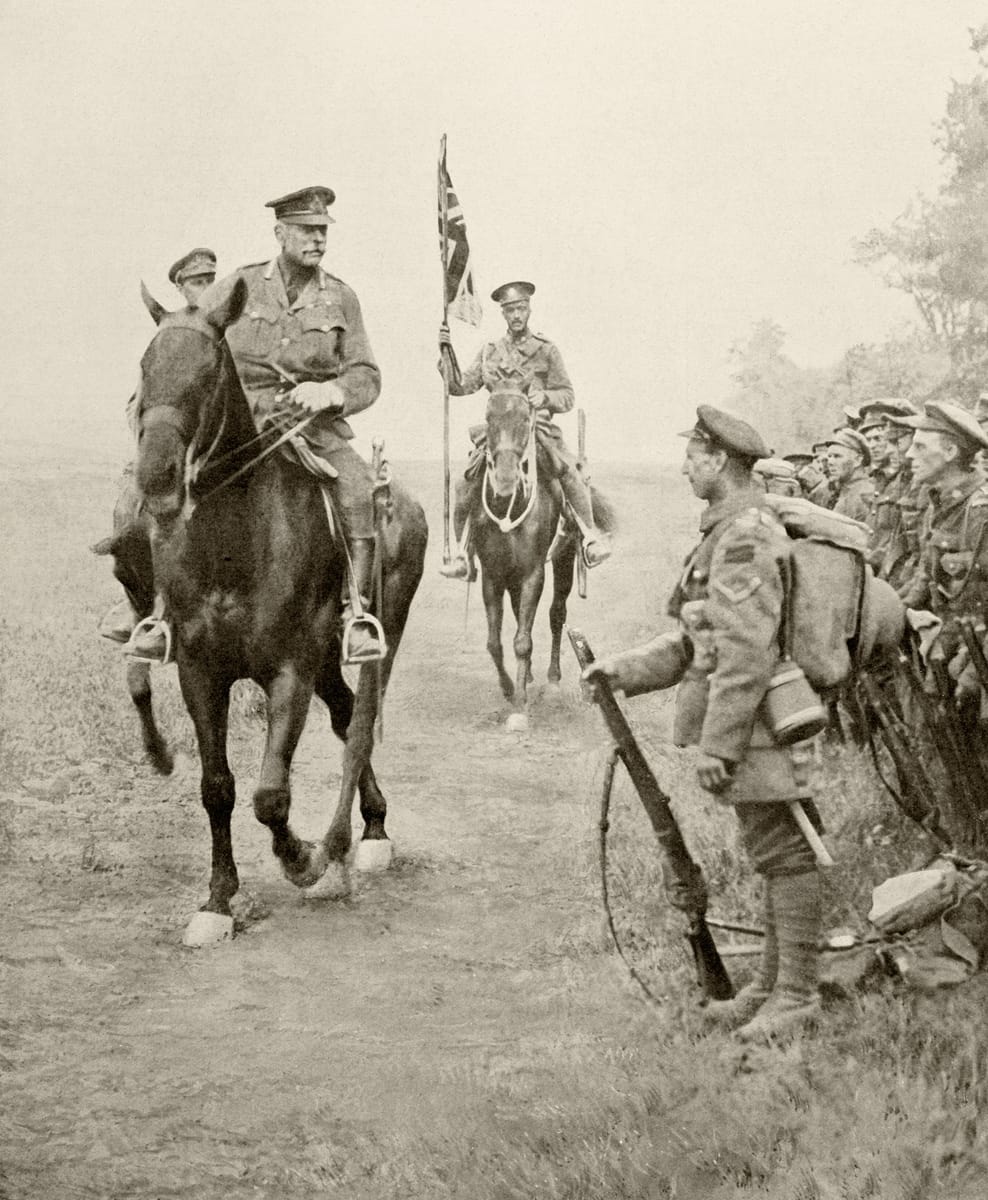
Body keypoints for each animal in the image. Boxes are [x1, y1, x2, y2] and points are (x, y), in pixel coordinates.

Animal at [115, 283, 424, 945]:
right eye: (145, 368)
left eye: (208, 372)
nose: (157, 479)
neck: (234, 544)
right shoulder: (200, 673)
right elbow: (218, 789)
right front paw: (217, 899)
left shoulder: (289, 672)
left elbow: (271, 796)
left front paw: (303, 858)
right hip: (326, 663)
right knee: (346, 716)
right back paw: (370, 823)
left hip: (373, 639)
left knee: (360, 726)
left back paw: (350, 843)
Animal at [475, 388, 614, 724]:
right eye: (488, 418)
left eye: (526, 419)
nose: (505, 480)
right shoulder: (492, 574)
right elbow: (495, 642)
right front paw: (510, 689)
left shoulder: (533, 572)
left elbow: (523, 641)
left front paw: (519, 709)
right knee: (518, 613)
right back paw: (528, 678)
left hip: (563, 558)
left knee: (556, 614)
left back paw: (551, 681)